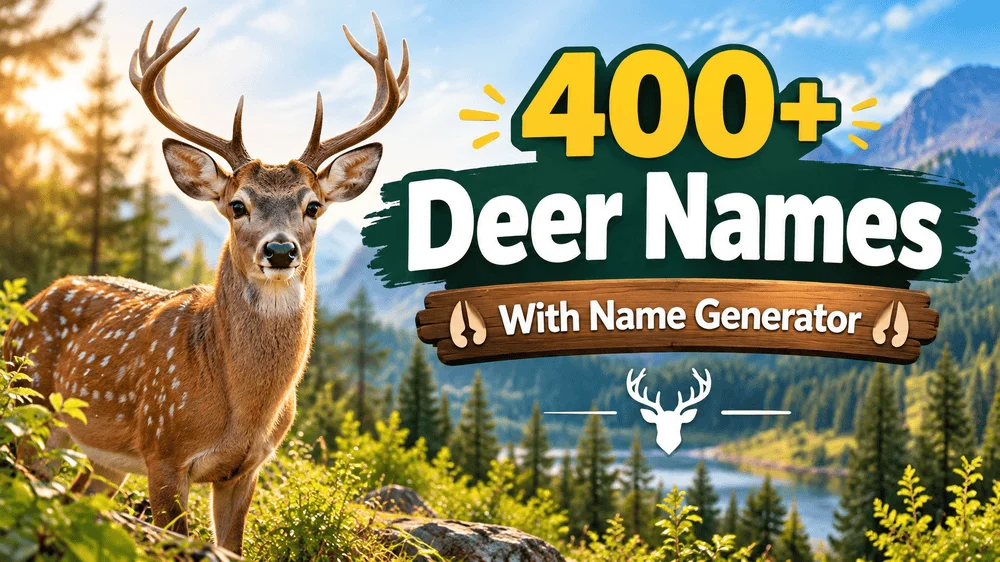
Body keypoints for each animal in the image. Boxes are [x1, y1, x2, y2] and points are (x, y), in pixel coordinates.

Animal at [0, 7, 408, 554]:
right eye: (238, 205)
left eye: (313, 205)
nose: (280, 250)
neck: (242, 410)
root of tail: (31, 302)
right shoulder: (163, 449)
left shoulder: (246, 470)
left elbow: (232, 546)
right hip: (28, 405)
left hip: (101, 457)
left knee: (78, 495)